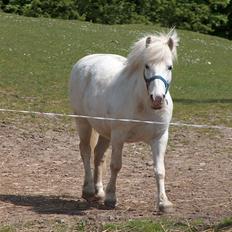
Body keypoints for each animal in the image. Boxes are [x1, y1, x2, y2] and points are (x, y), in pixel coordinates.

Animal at [69, 28, 179, 212]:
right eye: (147, 66)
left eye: (169, 67)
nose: (157, 99)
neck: (142, 104)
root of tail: (84, 61)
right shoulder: (118, 137)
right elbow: (116, 165)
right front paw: (111, 198)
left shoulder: (160, 137)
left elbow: (160, 170)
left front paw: (164, 203)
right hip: (83, 122)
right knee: (85, 150)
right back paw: (89, 190)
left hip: (104, 131)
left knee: (98, 156)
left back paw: (99, 192)